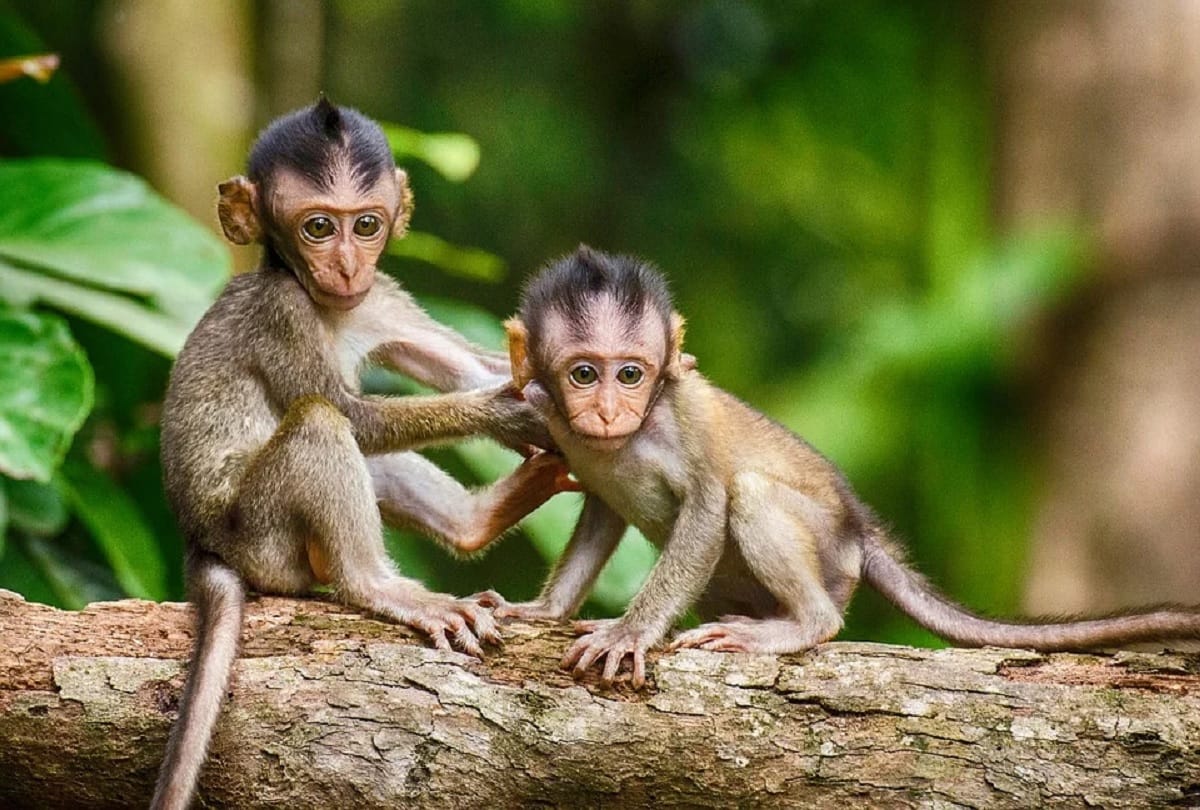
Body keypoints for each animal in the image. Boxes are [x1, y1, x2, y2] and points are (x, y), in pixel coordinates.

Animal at [151, 99, 573, 810]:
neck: (327, 305)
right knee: (322, 424)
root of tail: (201, 542)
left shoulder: (382, 296)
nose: (348, 265)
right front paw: (511, 412)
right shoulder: (282, 311)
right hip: (262, 538)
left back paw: (477, 521)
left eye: (366, 224)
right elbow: (351, 415)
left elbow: (469, 368)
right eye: (318, 227)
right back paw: (379, 585)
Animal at [478, 245, 1200, 689]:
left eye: (630, 374)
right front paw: (543, 610)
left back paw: (804, 624)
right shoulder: (553, 420)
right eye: (584, 374)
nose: (607, 411)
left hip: (830, 553)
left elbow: (709, 505)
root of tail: (860, 531)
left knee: (752, 494)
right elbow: (601, 510)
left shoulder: (682, 414)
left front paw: (630, 632)